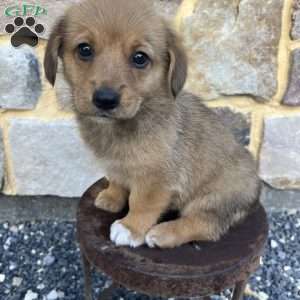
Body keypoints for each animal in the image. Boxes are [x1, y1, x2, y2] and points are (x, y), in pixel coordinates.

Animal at [44, 0, 260, 248]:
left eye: (140, 58)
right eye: (84, 49)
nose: (105, 99)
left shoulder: (155, 180)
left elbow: (141, 204)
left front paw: (130, 228)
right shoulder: (115, 165)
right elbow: (117, 181)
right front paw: (111, 198)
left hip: (212, 199)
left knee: (205, 226)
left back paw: (161, 234)